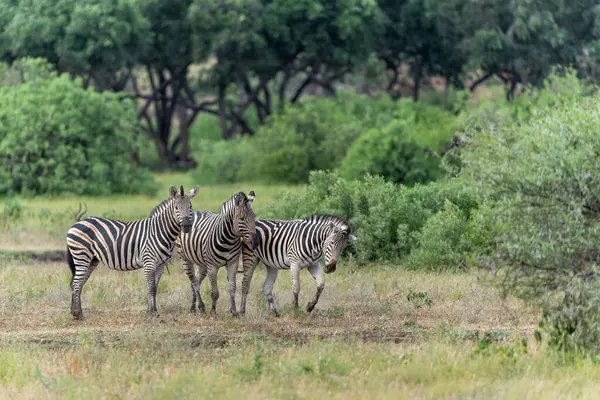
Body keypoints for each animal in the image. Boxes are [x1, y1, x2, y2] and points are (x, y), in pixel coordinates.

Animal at [65, 186, 198, 320]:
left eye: (190, 206)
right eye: (176, 207)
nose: (187, 226)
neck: (159, 231)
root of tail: (76, 224)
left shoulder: (161, 265)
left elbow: (155, 288)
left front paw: (154, 311)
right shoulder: (149, 262)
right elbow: (151, 287)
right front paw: (151, 313)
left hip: (92, 259)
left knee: (79, 283)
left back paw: (75, 312)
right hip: (82, 255)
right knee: (76, 283)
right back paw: (77, 314)